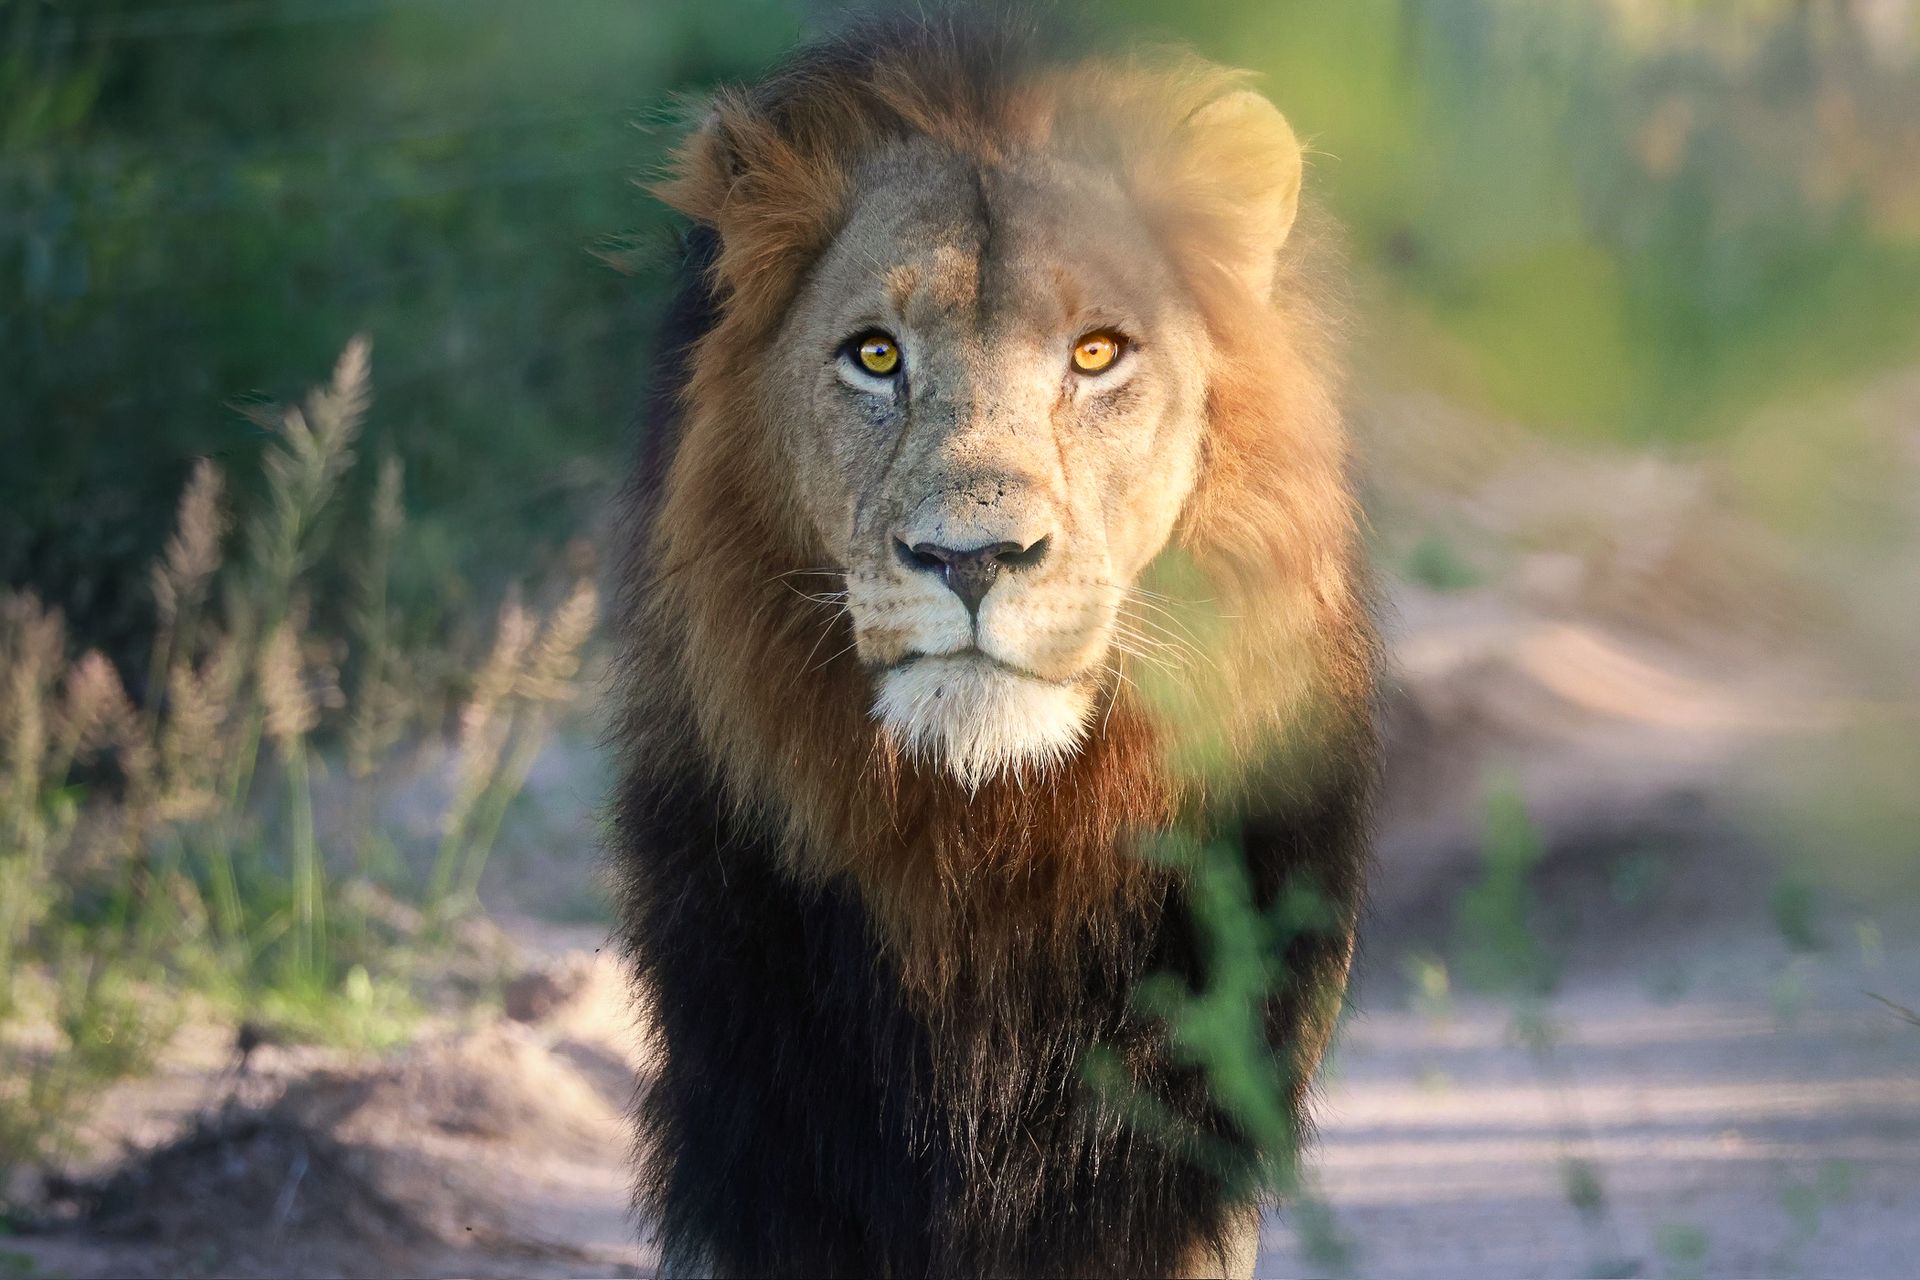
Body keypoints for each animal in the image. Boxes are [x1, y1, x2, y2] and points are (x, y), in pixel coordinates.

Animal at [611, 13, 1377, 1278]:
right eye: (875, 356)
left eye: (1097, 353)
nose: (972, 557)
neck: (981, 836)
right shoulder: (774, 1132)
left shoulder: (1165, 1167)